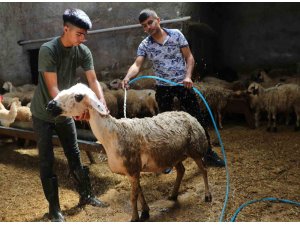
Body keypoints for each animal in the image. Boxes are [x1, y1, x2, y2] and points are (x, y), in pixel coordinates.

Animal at [46, 83, 211, 222]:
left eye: (78, 96)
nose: (50, 105)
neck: (113, 134)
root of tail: (188, 115)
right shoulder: (134, 171)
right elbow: (139, 191)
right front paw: (145, 212)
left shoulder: (132, 168)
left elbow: (133, 196)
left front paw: (134, 217)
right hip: (174, 155)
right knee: (181, 170)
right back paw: (173, 194)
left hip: (195, 148)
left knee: (203, 169)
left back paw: (207, 195)